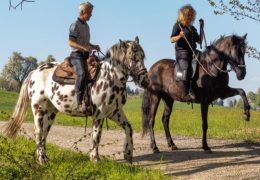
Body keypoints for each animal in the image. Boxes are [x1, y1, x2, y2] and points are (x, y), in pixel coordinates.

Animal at [5, 36, 149, 163]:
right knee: (38, 133)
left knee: (44, 133)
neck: (110, 76)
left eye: (142, 56)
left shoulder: (114, 112)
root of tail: (35, 72)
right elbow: (97, 136)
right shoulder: (99, 113)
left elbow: (128, 128)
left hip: (50, 112)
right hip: (39, 110)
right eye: (132, 57)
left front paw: (128, 154)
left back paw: (44, 158)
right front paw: (95, 158)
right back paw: (41, 160)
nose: (144, 81)